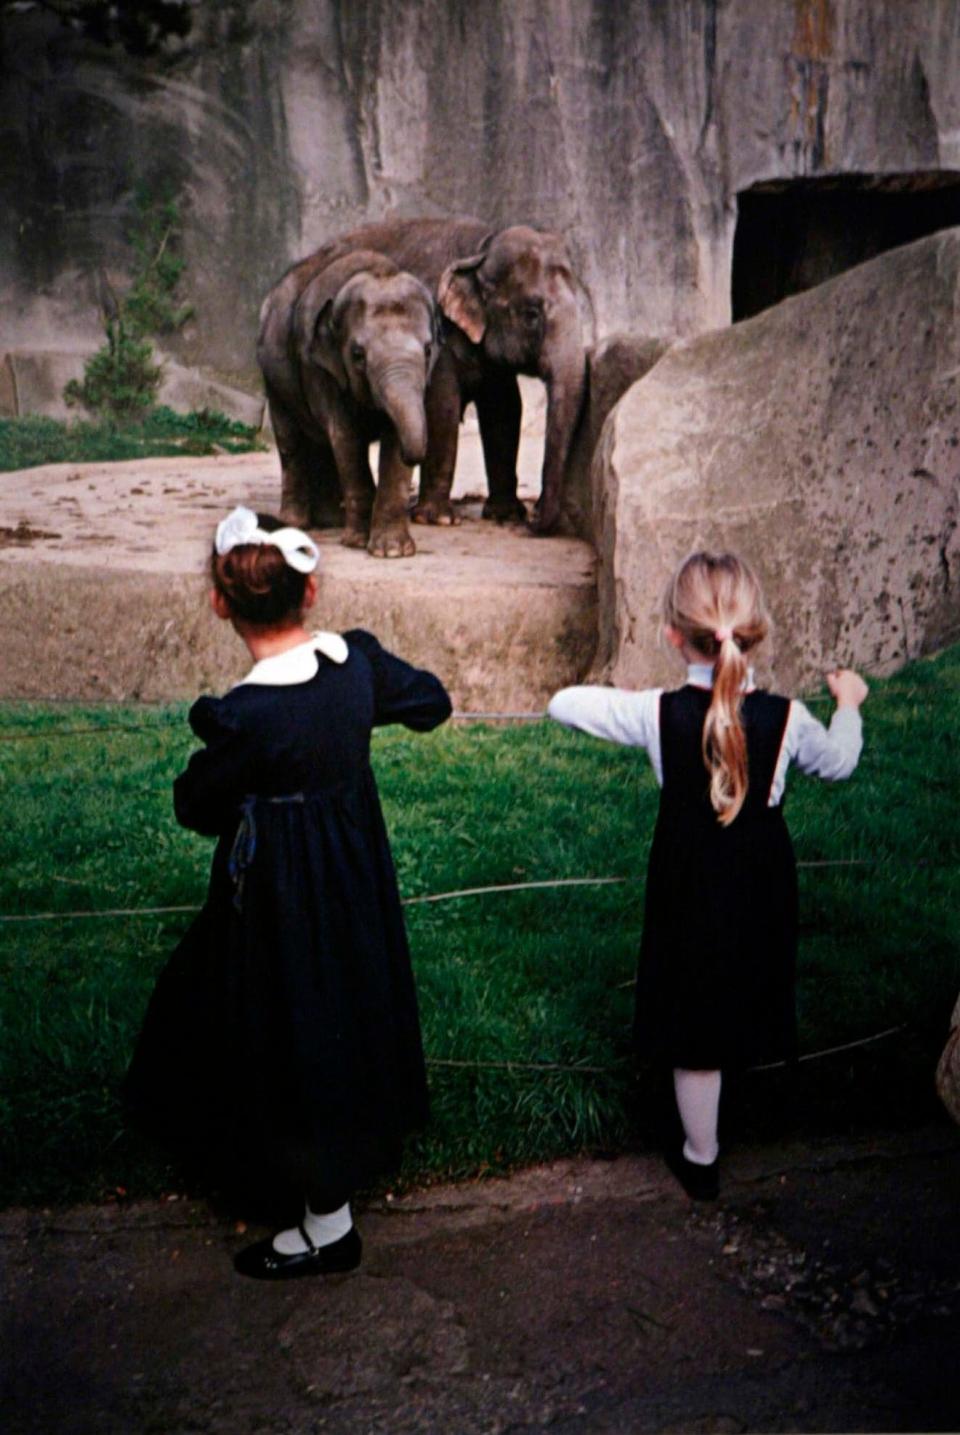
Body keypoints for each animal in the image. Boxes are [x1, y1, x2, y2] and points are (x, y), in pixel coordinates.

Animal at [253, 249, 433, 556]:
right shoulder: (321, 369)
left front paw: (392, 552)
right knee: (291, 440)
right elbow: (346, 438)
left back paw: (331, 521)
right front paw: (357, 542)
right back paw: (296, 524)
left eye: (428, 349)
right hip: (274, 379)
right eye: (358, 354)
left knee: (321, 442)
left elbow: (391, 441)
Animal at [292, 220, 591, 536]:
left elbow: (505, 409)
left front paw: (506, 515)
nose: (534, 516)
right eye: (532, 314)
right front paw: (438, 519)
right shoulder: (437, 335)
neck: (480, 247)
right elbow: (441, 404)